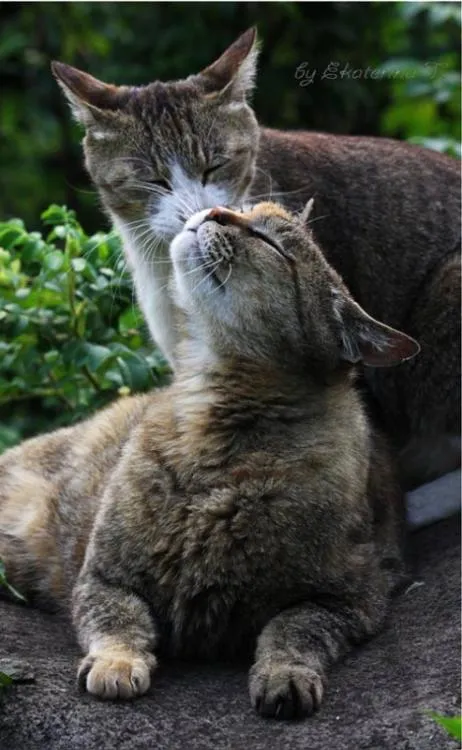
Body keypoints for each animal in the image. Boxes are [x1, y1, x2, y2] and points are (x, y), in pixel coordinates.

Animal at [0, 204, 418, 716]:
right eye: (247, 210)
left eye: (270, 241)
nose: (215, 210)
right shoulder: (103, 578)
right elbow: (120, 624)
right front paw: (117, 664)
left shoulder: (352, 598)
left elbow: (293, 630)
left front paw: (284, 674)